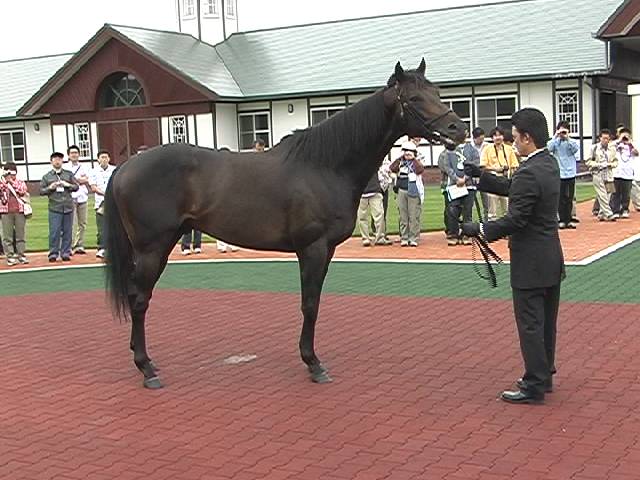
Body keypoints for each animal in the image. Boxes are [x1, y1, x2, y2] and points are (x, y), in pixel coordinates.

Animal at [104, 59, 467, 389]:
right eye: (414, 98)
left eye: (436, 91)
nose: (457, 130)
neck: (324, 166)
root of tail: (124, 168)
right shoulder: (312, 248)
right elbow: (310, 305)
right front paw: (313, 363)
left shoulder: (326, 251)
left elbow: (314, 301)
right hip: (152, 249)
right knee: (140, 300)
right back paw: (147, 370)